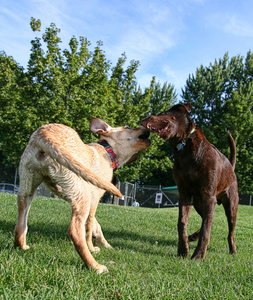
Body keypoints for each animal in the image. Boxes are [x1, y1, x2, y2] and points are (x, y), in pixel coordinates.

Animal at [14, 118, 150, 274]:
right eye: (128, 127)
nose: (146, 127)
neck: (107, 150)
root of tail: (43, 133)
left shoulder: (70, 195)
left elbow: (96, 224)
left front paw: (104, 243)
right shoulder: (94, 198)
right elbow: (89, 226)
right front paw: (93, 247)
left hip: (27, 188)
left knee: (20, 224)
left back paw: (21, 246)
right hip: (82, 194)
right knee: (75, 231)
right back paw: (95, 265)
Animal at [142, 103, 239, 260]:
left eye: (163, 113)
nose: (144, 118)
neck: (184, 147)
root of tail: (231, 167)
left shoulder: (209, 196)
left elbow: (206, 228)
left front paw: (198, 255)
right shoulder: (184, 194)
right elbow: (182, 222)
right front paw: (183, 249)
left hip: (230, 205)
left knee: (230, 231)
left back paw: (233, 249)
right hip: (198, 203)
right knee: (207, 220)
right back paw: (192, 237)